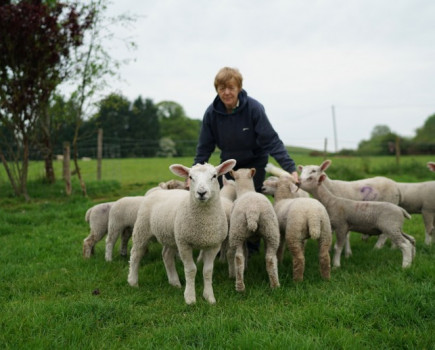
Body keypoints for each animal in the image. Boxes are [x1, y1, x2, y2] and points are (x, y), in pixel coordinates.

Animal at [127, 159, 237, 304]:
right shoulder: (184, 244)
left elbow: (207, 271)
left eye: (214, 176)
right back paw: (133, 281)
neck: (204, 223)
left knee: (166, 255)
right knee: (136, 254)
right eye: (190, 177)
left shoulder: (214, 245)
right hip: (142, 229)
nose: (201, 193)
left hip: (171, 236)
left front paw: (209, 297)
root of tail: (158, 191)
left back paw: (174, 282)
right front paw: (190, 298)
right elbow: (191, 270)